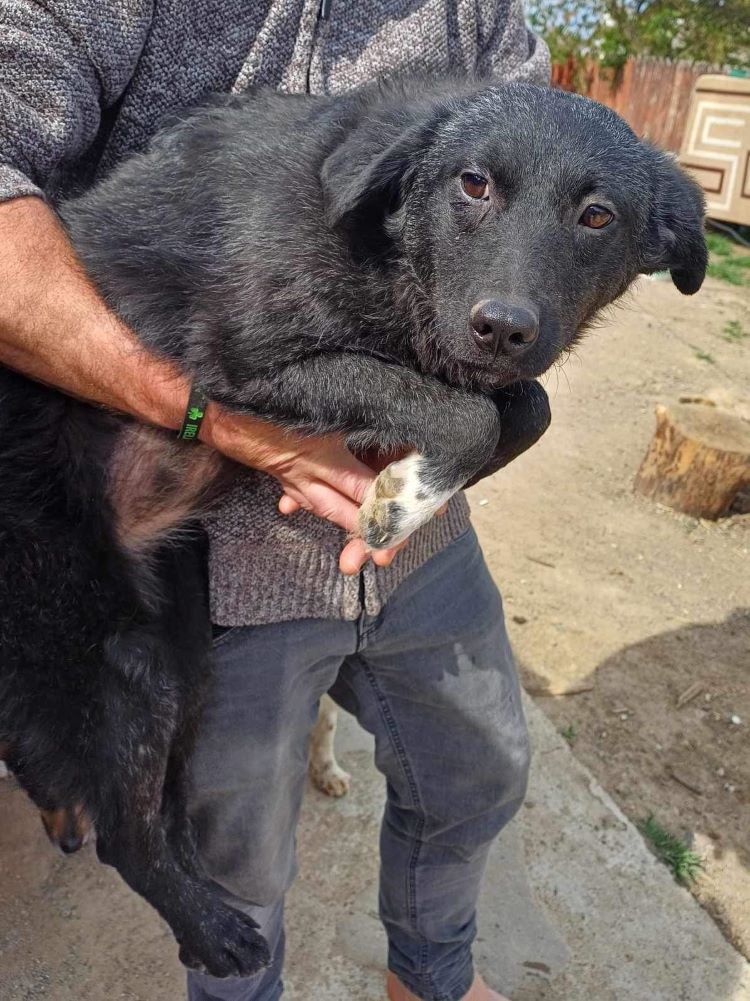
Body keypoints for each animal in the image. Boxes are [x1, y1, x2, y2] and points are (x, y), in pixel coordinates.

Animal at [0, 80, 700, 976]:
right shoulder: (252, 355)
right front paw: (402, 497)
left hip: (181, 638)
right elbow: (465, 410)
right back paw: (216, 933)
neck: (388, 246)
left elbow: (527, 408)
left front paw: (421, 478)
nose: (503, 327)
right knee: (120, 828)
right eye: (473, 183)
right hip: (108, 649)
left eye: (598, 215)